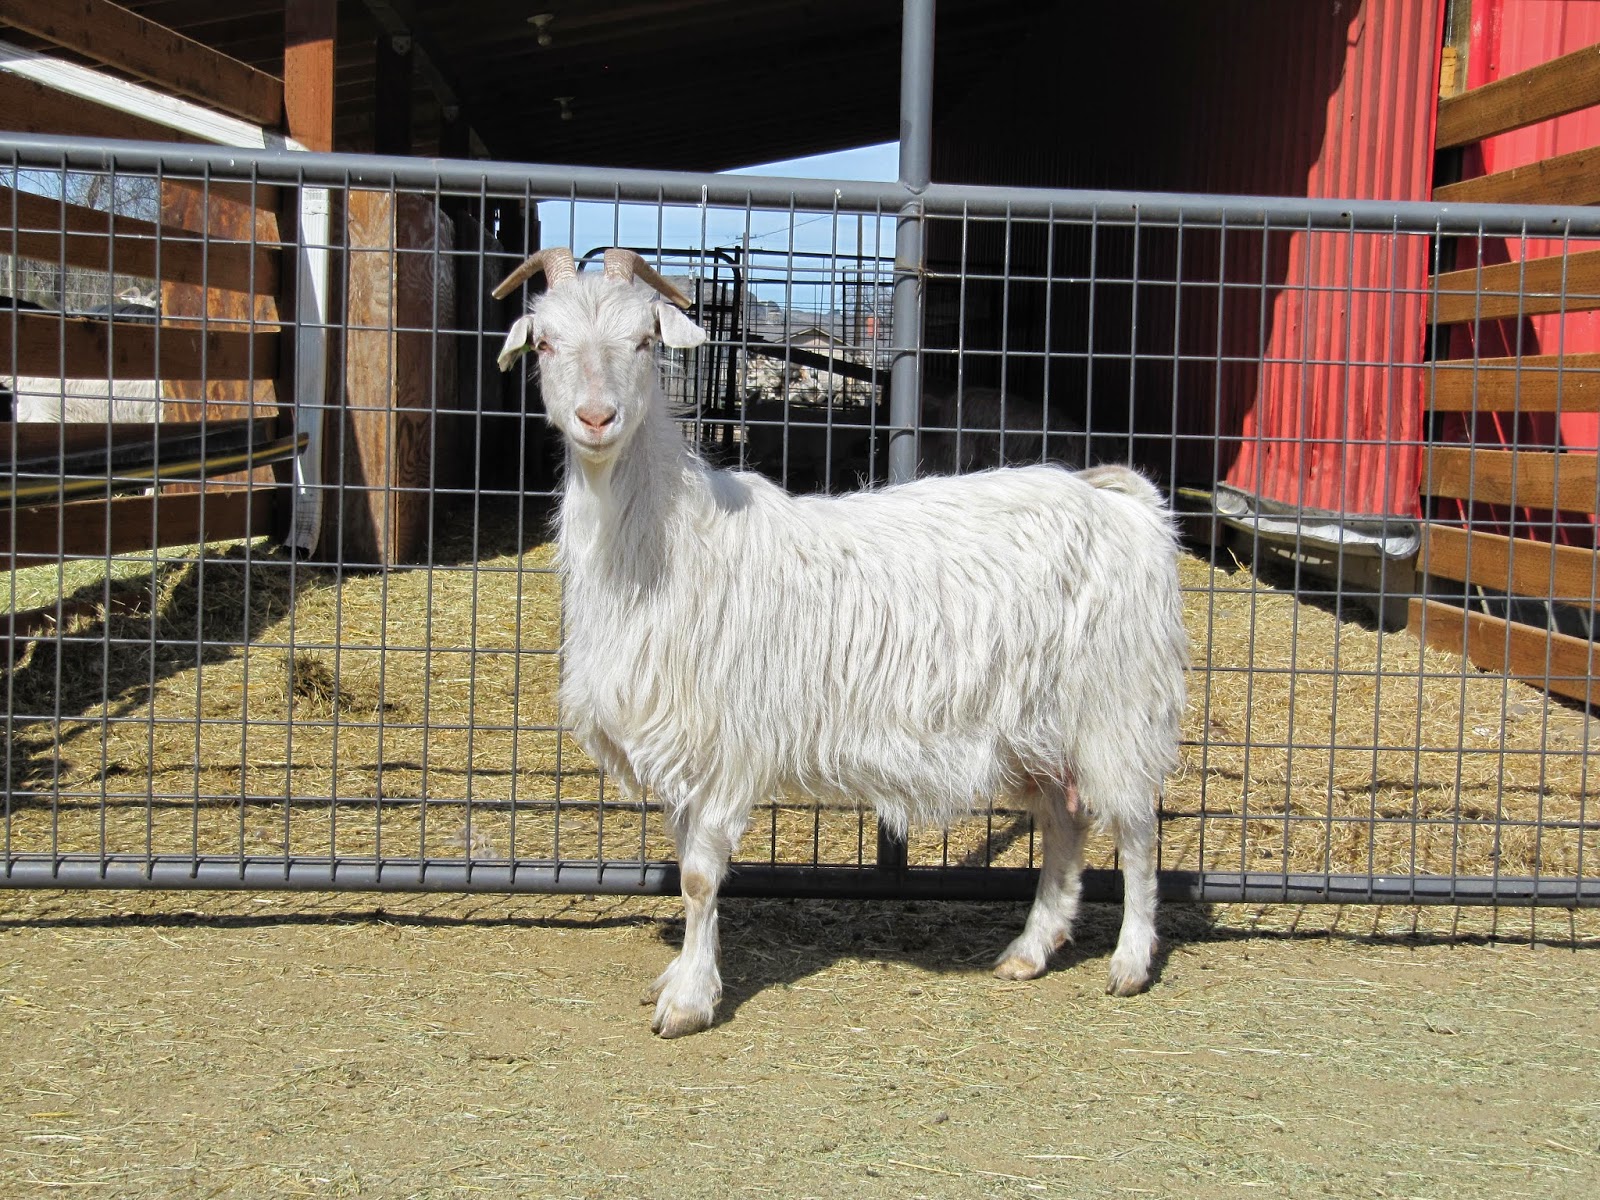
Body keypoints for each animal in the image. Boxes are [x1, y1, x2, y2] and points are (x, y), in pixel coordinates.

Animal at [496, 247, 1188, 1038]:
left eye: (644, 341)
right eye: (545, 344)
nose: (596, 417)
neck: (669, 543)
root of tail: (1123, 504)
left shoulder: (728, 741)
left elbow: (700, 876)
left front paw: (689, 1000)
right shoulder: (679, 742)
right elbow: (684, 863)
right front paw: (675, 979)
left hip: (1118, 701)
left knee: (1136, 831)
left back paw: (1130, 962)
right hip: (1037, 726)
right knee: (1065, 822)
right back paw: (1031, 948)